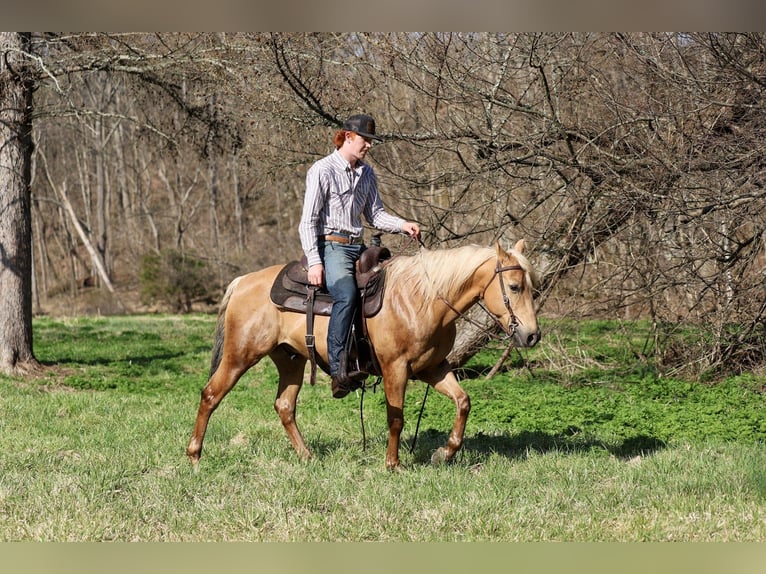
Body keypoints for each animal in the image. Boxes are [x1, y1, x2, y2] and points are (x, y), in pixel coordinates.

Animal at [186, 239, 541, 470]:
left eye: (532, 287)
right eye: (513, 287)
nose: (532, 335)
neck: (423, 300)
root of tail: (243, 281)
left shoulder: (433, 368)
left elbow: (463, 402)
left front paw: (445, 453)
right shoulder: (395, 368)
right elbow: (396, 418)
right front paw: (393, 464)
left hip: (290, 360)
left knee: (284, 406)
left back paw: (307, 457)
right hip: (240, 355)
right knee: (211, 395)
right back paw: (195, 455)